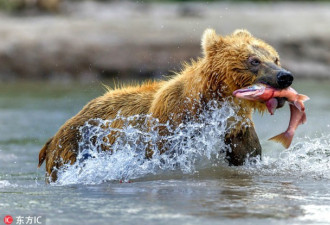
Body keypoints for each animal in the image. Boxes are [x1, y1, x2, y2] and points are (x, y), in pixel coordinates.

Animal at [37, 29, 292, 182]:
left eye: (275, 58)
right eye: (254, 60)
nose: (284, 76)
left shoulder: (237, 132)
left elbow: (247, 157)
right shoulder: (172, 127)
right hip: (74, 148)